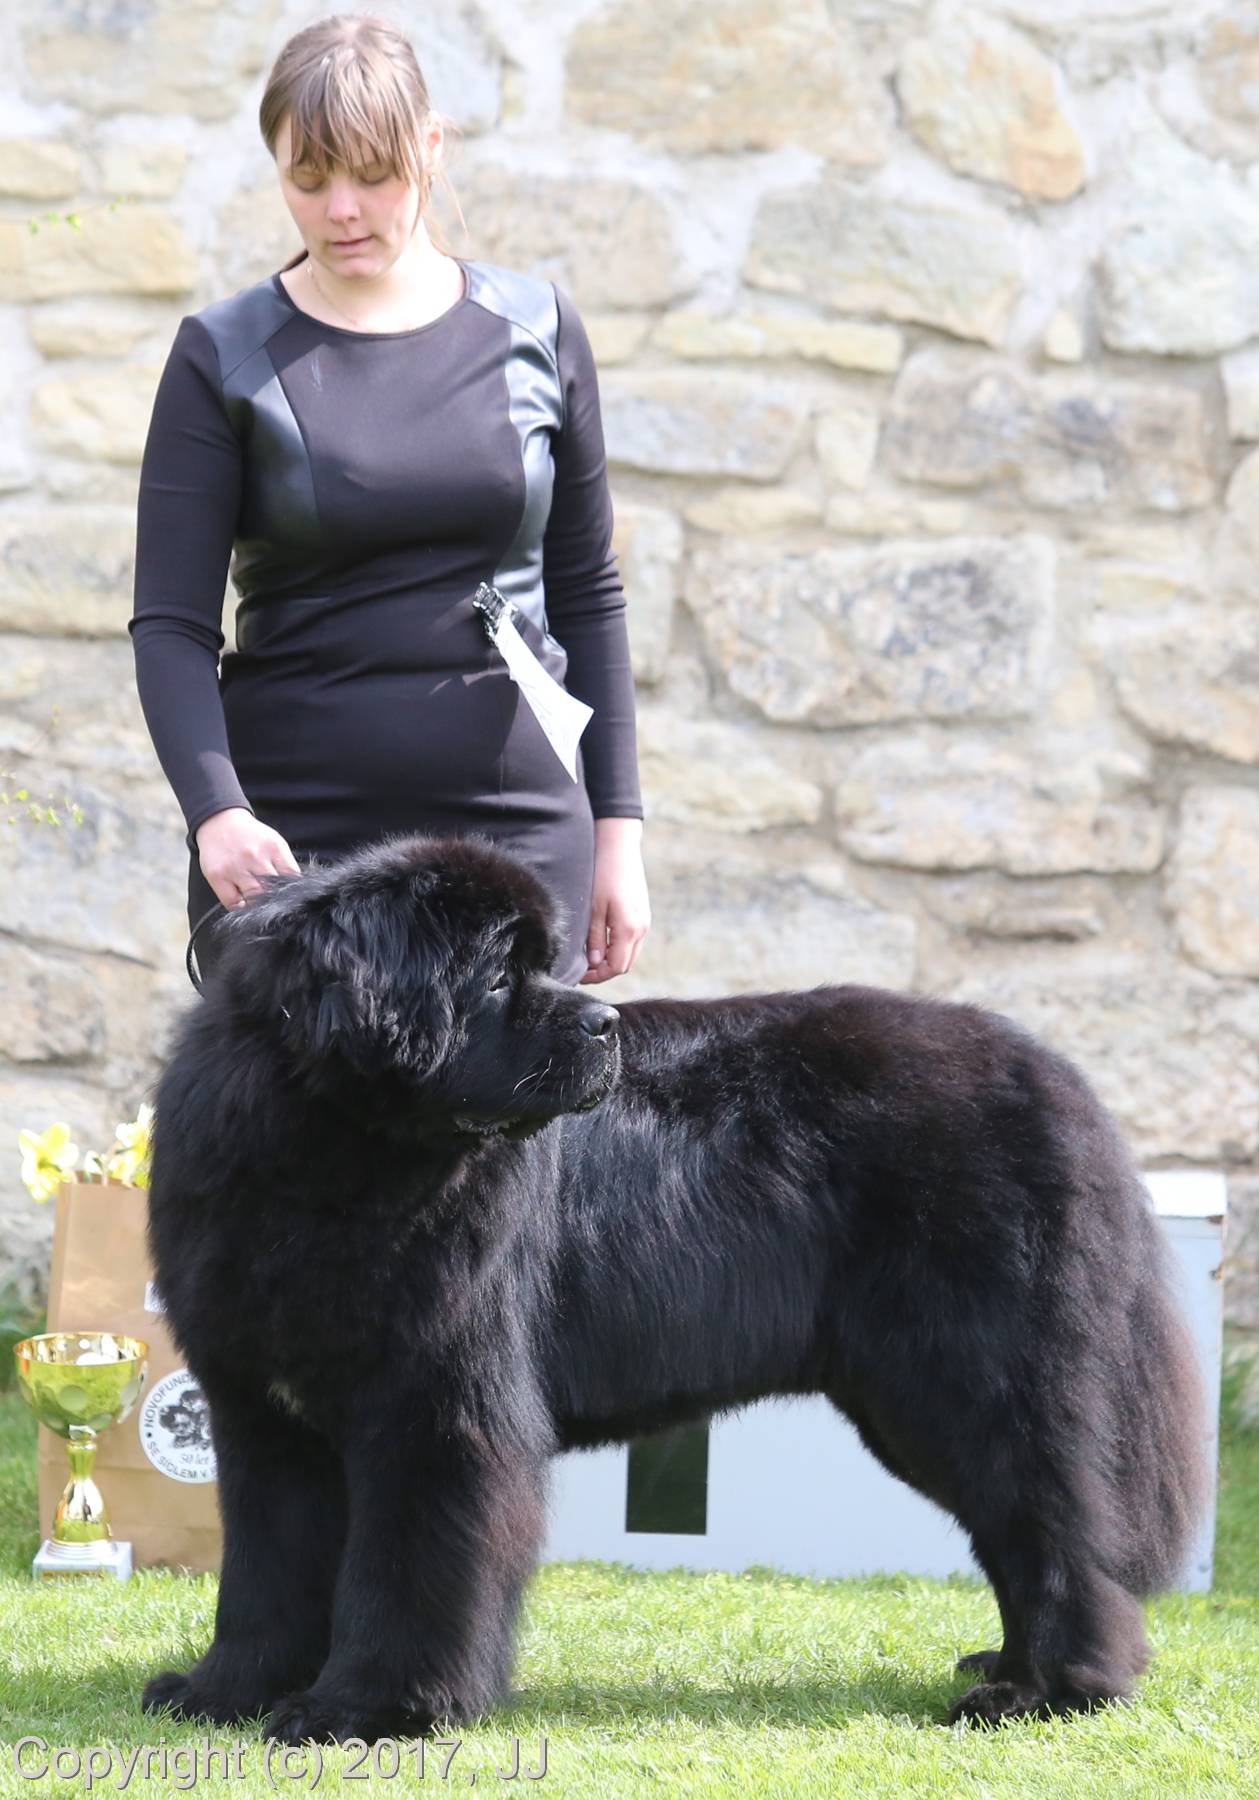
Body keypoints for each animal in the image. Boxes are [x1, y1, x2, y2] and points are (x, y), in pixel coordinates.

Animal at [140, 832, 1208, 1743]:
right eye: (500, 974)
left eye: (546, 965)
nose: (605, 1021)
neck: (326, 1155)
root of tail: (1057, 1078)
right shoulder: (262, 1412)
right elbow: (265, 1567)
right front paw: (225, 1691)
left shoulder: (432, 1409)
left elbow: (405, 1569)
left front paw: (365, 1709)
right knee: (1018, 1527)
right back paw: (1008, 1668)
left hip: (969, 1378)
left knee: (1052, 1526)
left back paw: (1051, 1693)